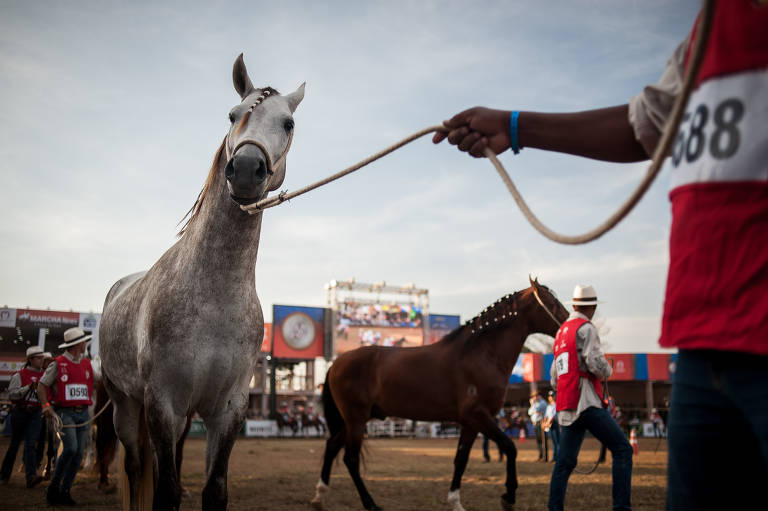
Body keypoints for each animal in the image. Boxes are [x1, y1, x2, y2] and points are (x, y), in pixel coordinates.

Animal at [100, 54, 304, 510]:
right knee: (136, 467)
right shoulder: (162, 403)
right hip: (125, 403)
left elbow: (215, 489)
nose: (245, 170)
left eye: (288, 123)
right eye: (232, 114)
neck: (214, 296)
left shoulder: (228, 409)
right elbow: (166, 492)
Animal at [308, 280, 568, 511]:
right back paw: (370, 503)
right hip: (356, 419)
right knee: (350, 458)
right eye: (551, 302)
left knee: (332, 447)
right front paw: (509, 497)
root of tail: (337, 362)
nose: (568, 322)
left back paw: (319, 498)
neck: (480, 354)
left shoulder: (470, 423)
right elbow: (510, 448)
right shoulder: (479, 416)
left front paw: (455, 503)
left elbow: (460, 461)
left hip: (354, 420)